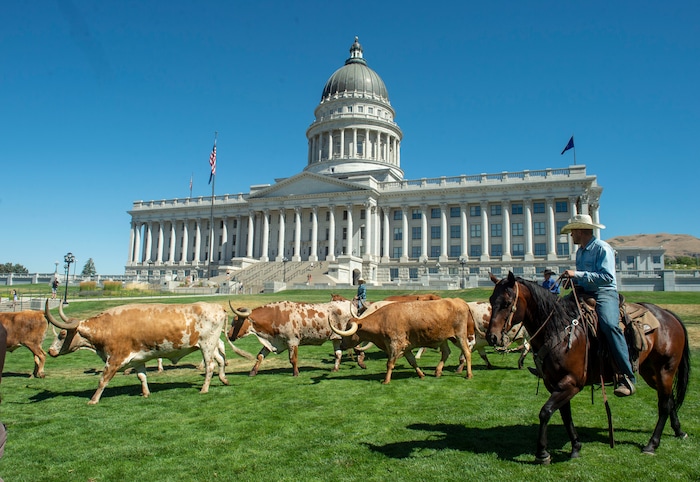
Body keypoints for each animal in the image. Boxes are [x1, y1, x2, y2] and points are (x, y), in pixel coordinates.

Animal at [44, 300, 229, 405]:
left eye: (62, 334)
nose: (50, 351)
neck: (106, 328)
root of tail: (218, 307)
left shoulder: (115, 358)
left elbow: (103, 380)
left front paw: (93, 400)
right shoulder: (138, 358)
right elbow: (141, 376)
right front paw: (146, 393)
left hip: (207, 344)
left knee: (210, 366)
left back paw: (204, 389)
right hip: (209, 345)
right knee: (220, 360)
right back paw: (223, 379)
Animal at [229, 300, 365, 376]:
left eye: (236, 321)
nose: (229, 336)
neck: (275, 315)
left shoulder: (292, 341)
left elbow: (293, 359)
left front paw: (295, 373)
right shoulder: (272, 342)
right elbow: (260, 356)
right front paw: (253, 372)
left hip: (347, 334)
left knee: (357, 347)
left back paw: (361, 362)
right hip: (336, 338)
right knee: (338, 353)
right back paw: (335, 369)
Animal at [329, 298, 476, 383]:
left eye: (348, 332)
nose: (342, 344)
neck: (382, 320)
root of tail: (460, 301)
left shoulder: (395, 345)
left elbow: (390, 363)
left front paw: (386, 380)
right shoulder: (407, 347)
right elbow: (412, 361)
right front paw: (421, 374)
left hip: (459, 336)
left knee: (467, 352)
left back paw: (468, 375)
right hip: (445, 338)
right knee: (446, 352)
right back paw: (437, 372)